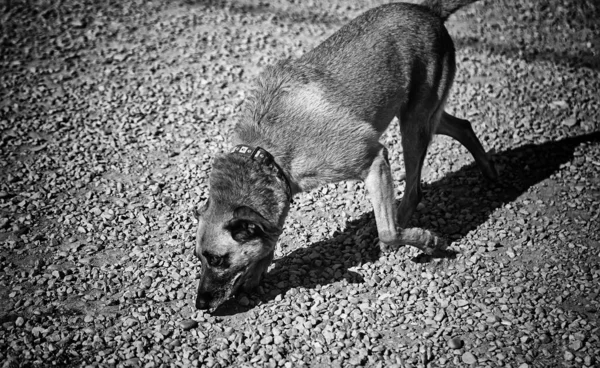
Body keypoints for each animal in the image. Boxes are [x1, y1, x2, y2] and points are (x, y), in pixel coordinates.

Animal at [192, 0, 496, 310]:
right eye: (199, 258)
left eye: (217, 259)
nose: (200, 304)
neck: (266, 152)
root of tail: (427, 11)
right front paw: (256, 273)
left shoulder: (374, 159)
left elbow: (389, 231)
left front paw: (427, 241)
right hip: (420, 116)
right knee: (462, 126)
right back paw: (491, 174)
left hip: (414, 124)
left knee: (412, 194)